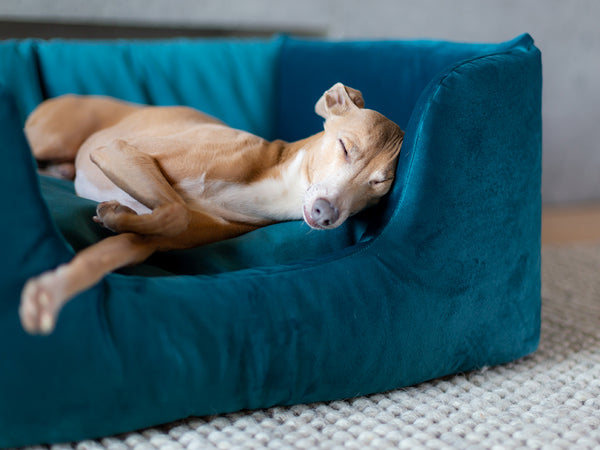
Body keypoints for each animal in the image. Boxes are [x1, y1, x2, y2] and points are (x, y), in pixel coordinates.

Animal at [19, 83, 404, 334]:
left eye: (379, 185)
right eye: (344, 146)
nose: (326, 212)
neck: (271, 179)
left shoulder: (148, 242)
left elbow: (128, 242)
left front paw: (51, 293)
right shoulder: (117, 149)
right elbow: (176, 209)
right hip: (54, 137)